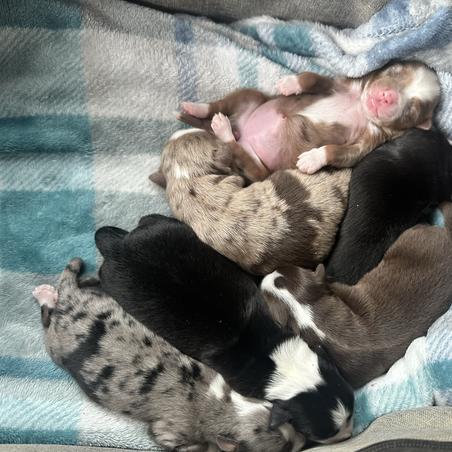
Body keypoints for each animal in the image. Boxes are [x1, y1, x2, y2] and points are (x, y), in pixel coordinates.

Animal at [95, 214, 354, 445]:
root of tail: (117, 247)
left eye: (352, 410)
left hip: (163, 226)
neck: (276, 358)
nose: (349, 435)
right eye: (315, 434)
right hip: (112, 283)